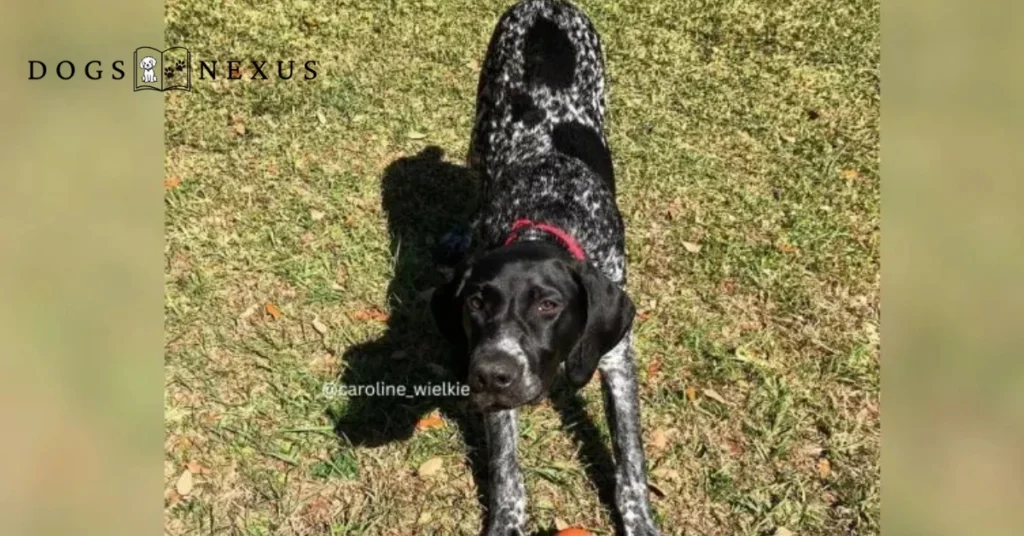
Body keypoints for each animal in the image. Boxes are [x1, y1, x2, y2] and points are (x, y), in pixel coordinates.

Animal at [430, 2, 655, 532]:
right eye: (476, 302)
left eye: (549, 305)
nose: (492, 374)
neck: (549, 212)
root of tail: (545, 5)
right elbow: (506, 465)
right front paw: (506, 521)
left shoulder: (618, 356)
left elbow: (630, 456)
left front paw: (638, 518)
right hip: (480, 131)